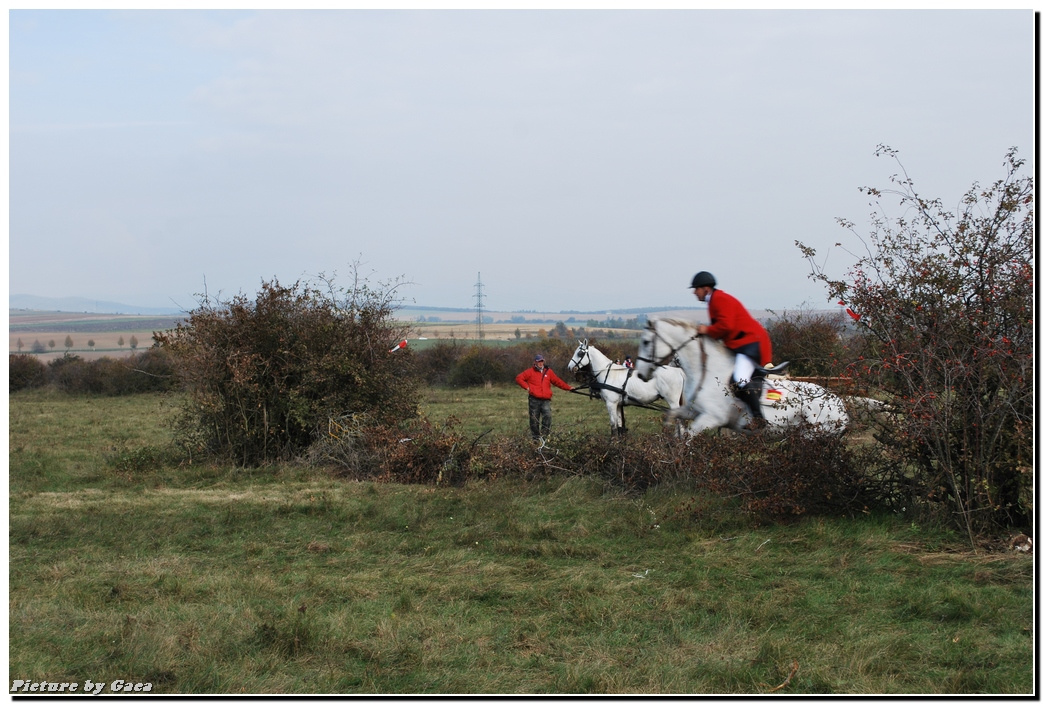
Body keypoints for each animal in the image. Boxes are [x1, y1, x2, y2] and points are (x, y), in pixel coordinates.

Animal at [629, 319, 851, 435]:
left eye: (646, 342)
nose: (640, 373)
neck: (708, 371)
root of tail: (839, 404)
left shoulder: (711, 418)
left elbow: (690, 435)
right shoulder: (695, 412)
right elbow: (675, 416)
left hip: (814, 434)